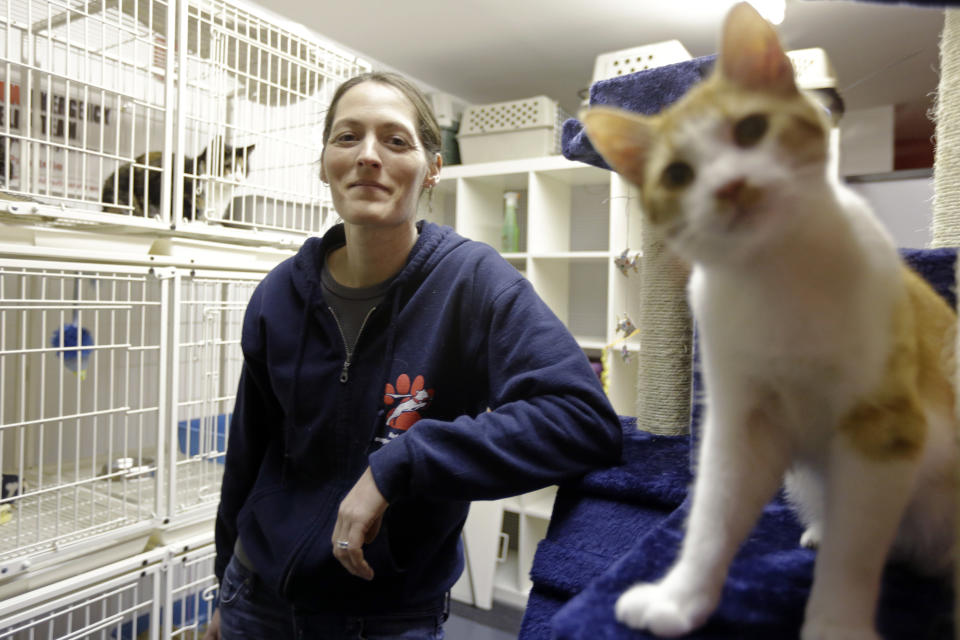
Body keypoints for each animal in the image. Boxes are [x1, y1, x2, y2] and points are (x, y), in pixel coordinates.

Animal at [580, 5, 956, 640]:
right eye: (677, 174)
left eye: (751, 129)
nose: (733, 187)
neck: (776, 275)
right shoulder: (742, 422)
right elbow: (713, 518)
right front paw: (679, 599)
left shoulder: (884, 424)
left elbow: (855, 554)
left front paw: (836, 624)